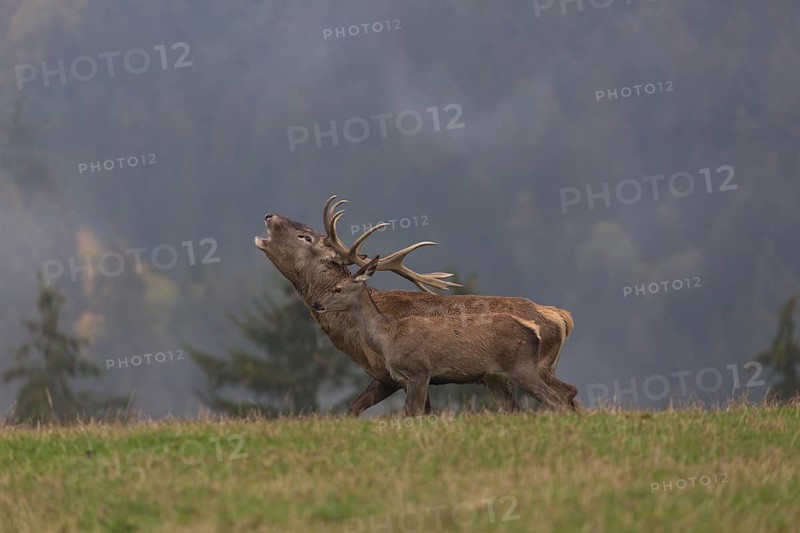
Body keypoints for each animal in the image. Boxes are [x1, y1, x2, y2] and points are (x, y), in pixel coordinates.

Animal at [312, 256, 564, 415]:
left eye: (338, 288)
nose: (317, 304)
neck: (388, 337)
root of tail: (533, 329)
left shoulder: (419, 371)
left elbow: (413, 412)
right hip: (495, 376)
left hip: (521, 366)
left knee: (555, 399)